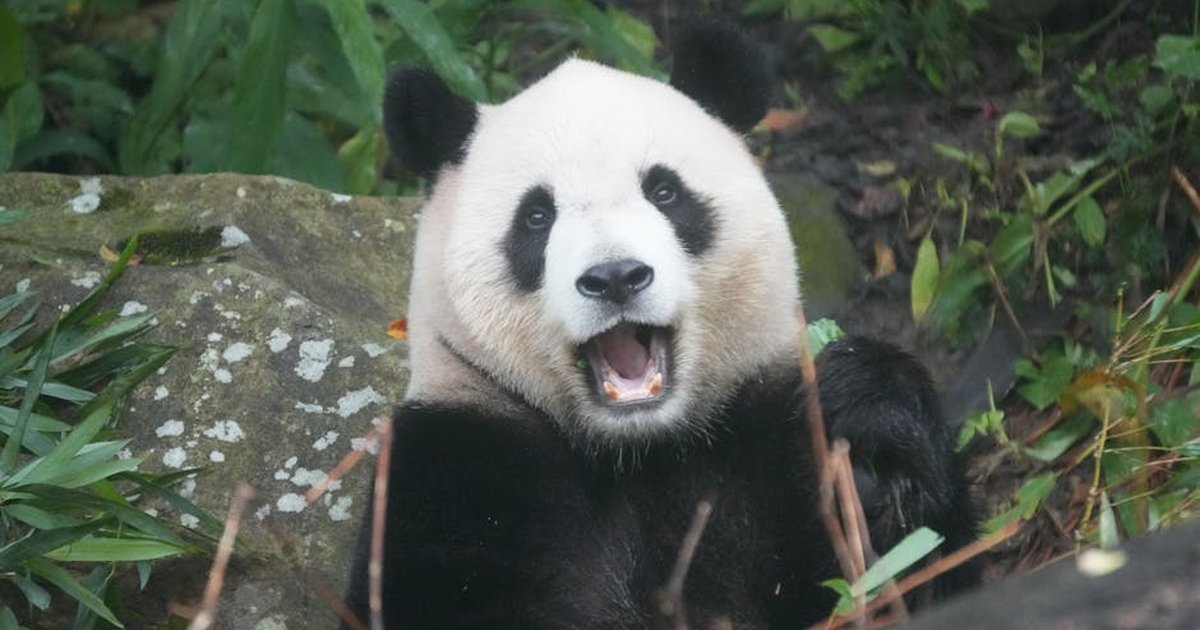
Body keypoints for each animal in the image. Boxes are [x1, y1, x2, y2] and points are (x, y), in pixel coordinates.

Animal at [345, 19, 976, 629]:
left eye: (665, 191)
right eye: (537, 216)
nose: (615, 277)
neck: (641, 449)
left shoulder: (759, 430)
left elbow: (915, 571)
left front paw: (871, 435)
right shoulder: (459, 465)